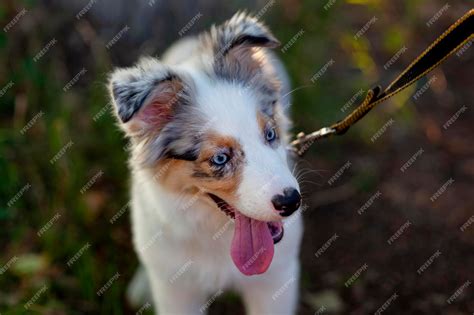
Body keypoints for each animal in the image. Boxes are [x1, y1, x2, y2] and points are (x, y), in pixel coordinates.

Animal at [108, 11, 304, 314]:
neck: (217, 235)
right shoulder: (178, 291)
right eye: (220, 158)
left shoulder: (276, 280)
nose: (291, 202)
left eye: (270, 134)